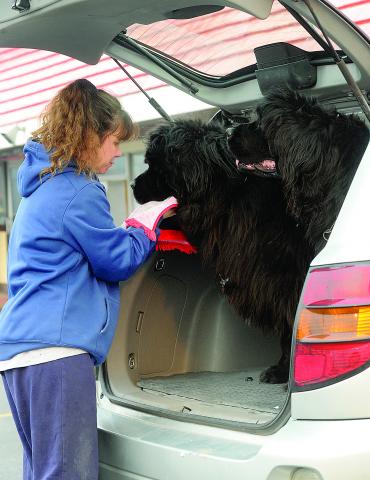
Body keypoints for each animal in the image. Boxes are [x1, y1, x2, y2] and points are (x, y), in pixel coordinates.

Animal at [132, 89, 368, 382]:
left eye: (154, 166)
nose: (133, 185)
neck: (227, 187)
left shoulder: (287, 276)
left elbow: (292, 324)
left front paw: (283, 370)